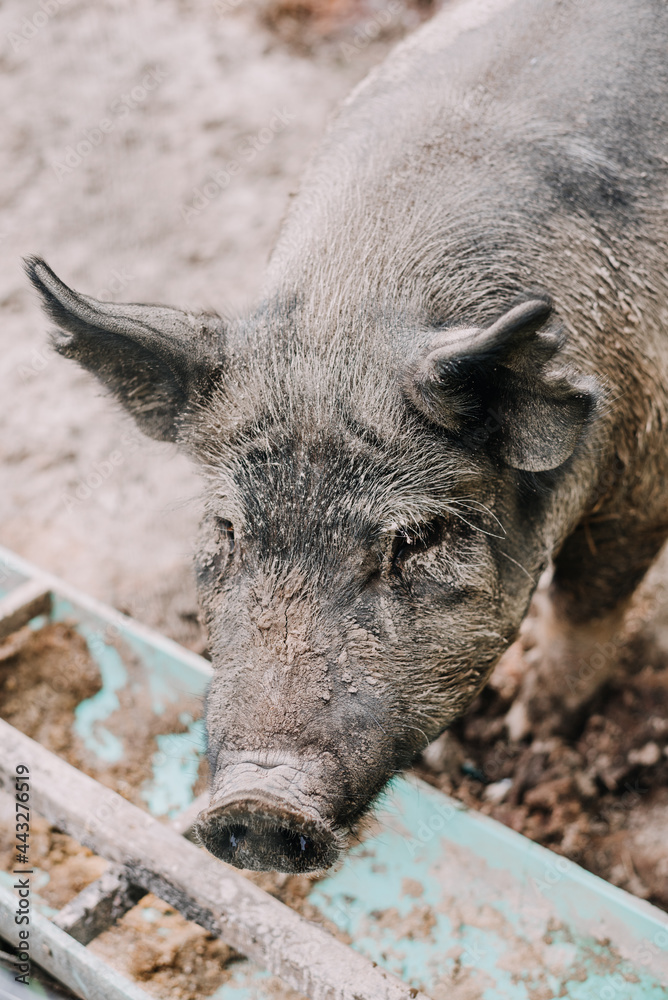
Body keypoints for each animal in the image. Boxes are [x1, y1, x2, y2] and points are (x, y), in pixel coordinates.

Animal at [27, 0, 668, 873]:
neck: (358, 305)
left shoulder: (646, 475)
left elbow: (587, 600)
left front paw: (534, 727)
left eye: (417, 540)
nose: (260, 802)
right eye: (228, 527)